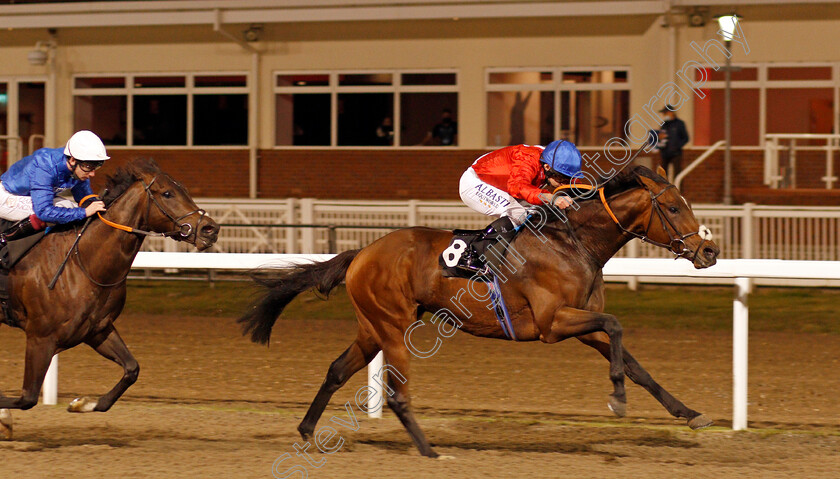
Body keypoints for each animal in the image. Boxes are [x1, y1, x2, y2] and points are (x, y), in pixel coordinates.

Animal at [0, 158, 220, 442]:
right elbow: (26, 398)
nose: (210, 229)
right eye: (167, 193)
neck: (82, 263)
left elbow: (131, 369)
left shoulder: (97, 330)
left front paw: (83, 403)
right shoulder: (41, 338)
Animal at [240, 167, 720, 460]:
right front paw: (617, 397)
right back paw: (430, 451)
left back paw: (307, 430)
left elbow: (635, 362)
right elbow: (616, 327)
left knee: (338, 370)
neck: (573, 244)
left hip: (372, 327)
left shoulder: (581, 324)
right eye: (673, 208)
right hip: (393, 326)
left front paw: (689, 413)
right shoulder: (551, 324)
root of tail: (362, 252)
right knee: (397, 393)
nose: (709, 252)